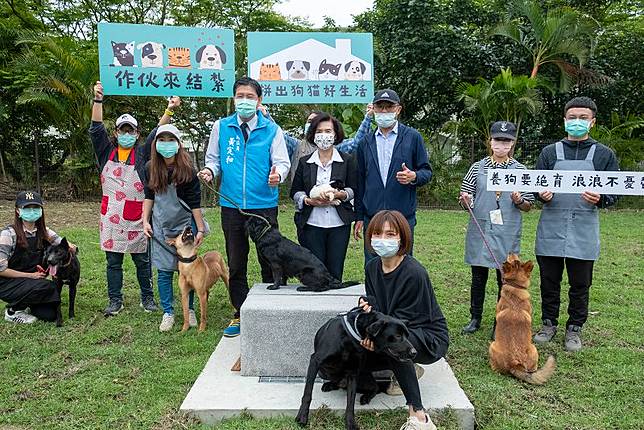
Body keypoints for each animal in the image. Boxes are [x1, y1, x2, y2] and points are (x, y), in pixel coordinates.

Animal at [490, 254, 556, 384]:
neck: (515, 288)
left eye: (517, 260)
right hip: (534, 349)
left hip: (492, 346)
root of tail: (515, 364)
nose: (511, 252)